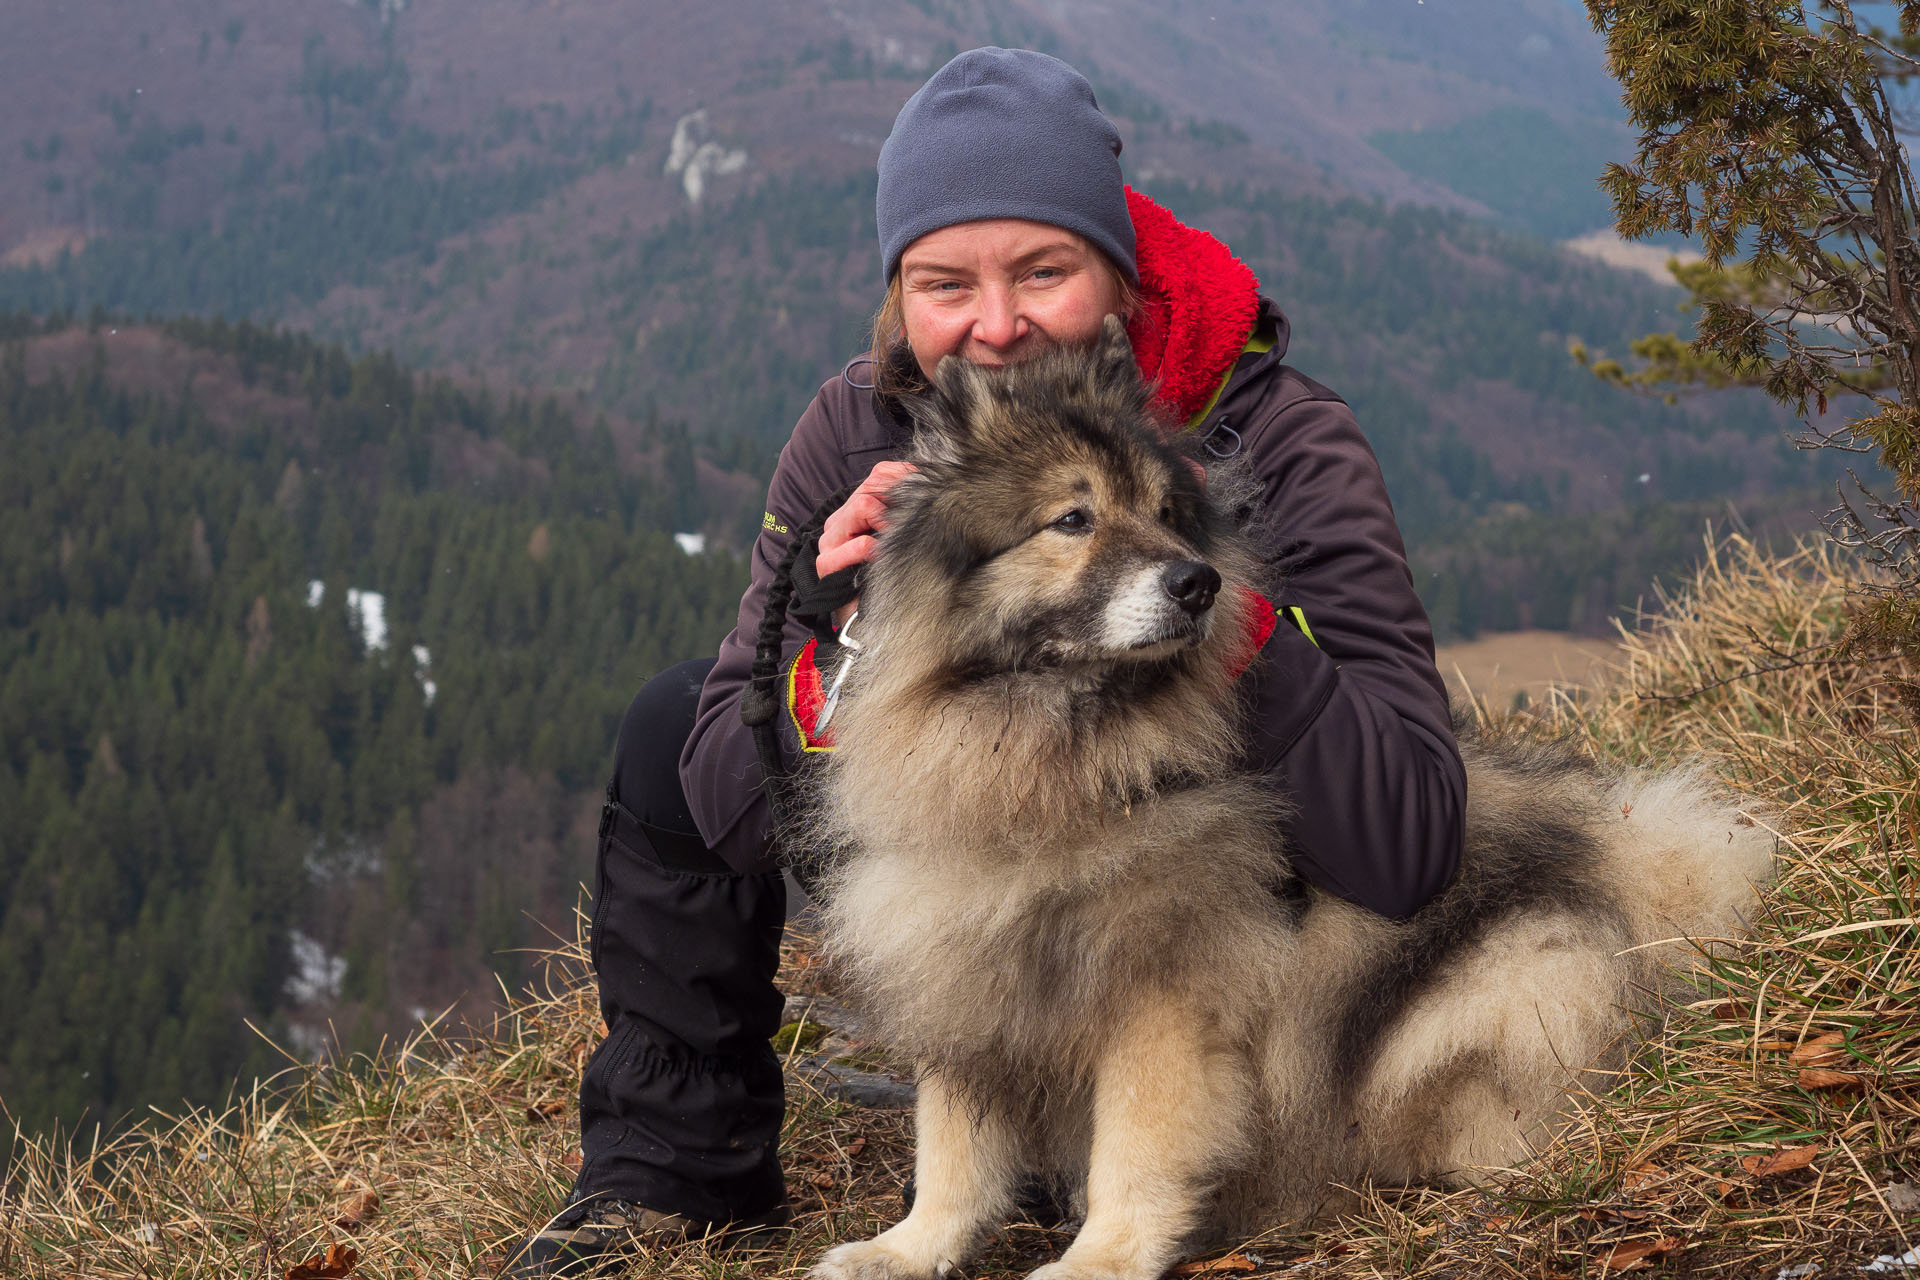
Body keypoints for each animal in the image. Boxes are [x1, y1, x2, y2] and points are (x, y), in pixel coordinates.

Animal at [802, 312, 1774, 1280]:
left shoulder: (1164, 995)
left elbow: (1135, 1148)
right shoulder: (962, 968)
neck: (1061, 759)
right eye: (1072, 520)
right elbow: (953, 1148)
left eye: (1167, 515)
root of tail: (1646, 889)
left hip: (1510, 990)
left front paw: (1100, 1259)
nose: (1198, 583)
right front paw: (908, 1249)